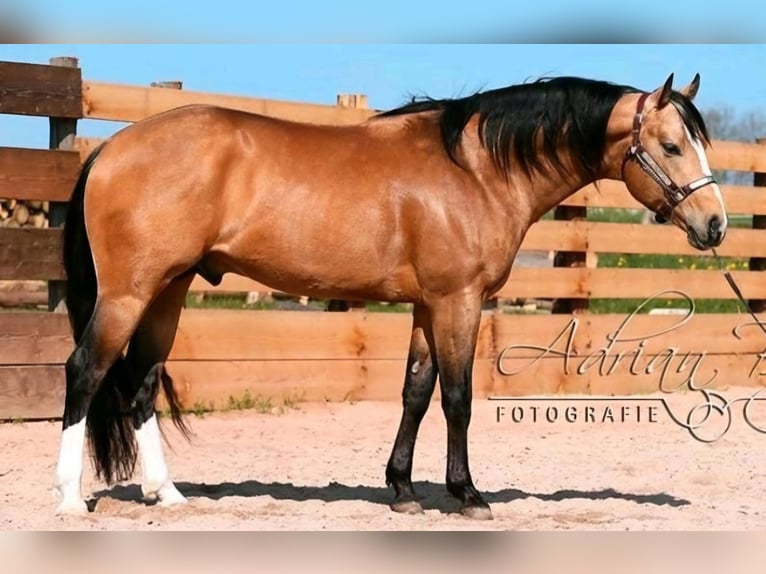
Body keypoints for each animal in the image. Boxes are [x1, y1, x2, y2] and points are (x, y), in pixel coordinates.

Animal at [54, 72, 726, 519]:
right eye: (671, 146)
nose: (716, 225)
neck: (475, 169)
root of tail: (112, 147)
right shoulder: (459, 301)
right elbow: (457, 398)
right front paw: (467, 494)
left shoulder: (428, 306)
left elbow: (415, 393)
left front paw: (402, 489)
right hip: (128, 294)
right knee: (86, 372)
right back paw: (69, 499)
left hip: (167, 291)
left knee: (141, 383)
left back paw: (166, 493)